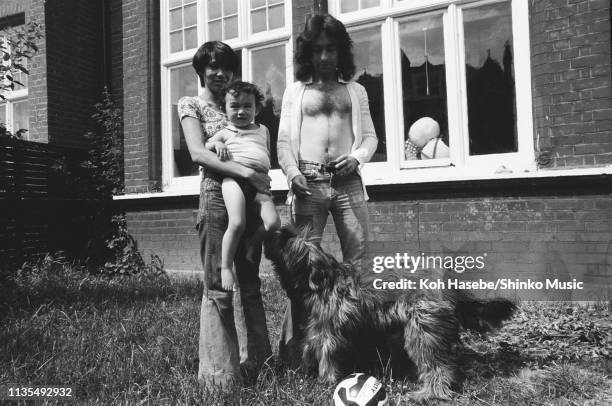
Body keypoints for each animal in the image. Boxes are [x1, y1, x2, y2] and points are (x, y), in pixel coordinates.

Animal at [266, 227, 520, 402]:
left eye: (286, 239)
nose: (276, 229)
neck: (321, 279)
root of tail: (449, 283)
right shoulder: (322, 328)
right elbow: (312, 347)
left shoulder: (330, 332)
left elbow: (327, 354)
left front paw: (325, 380)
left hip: (423, 329)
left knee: (437, 366)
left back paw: (428, 393)